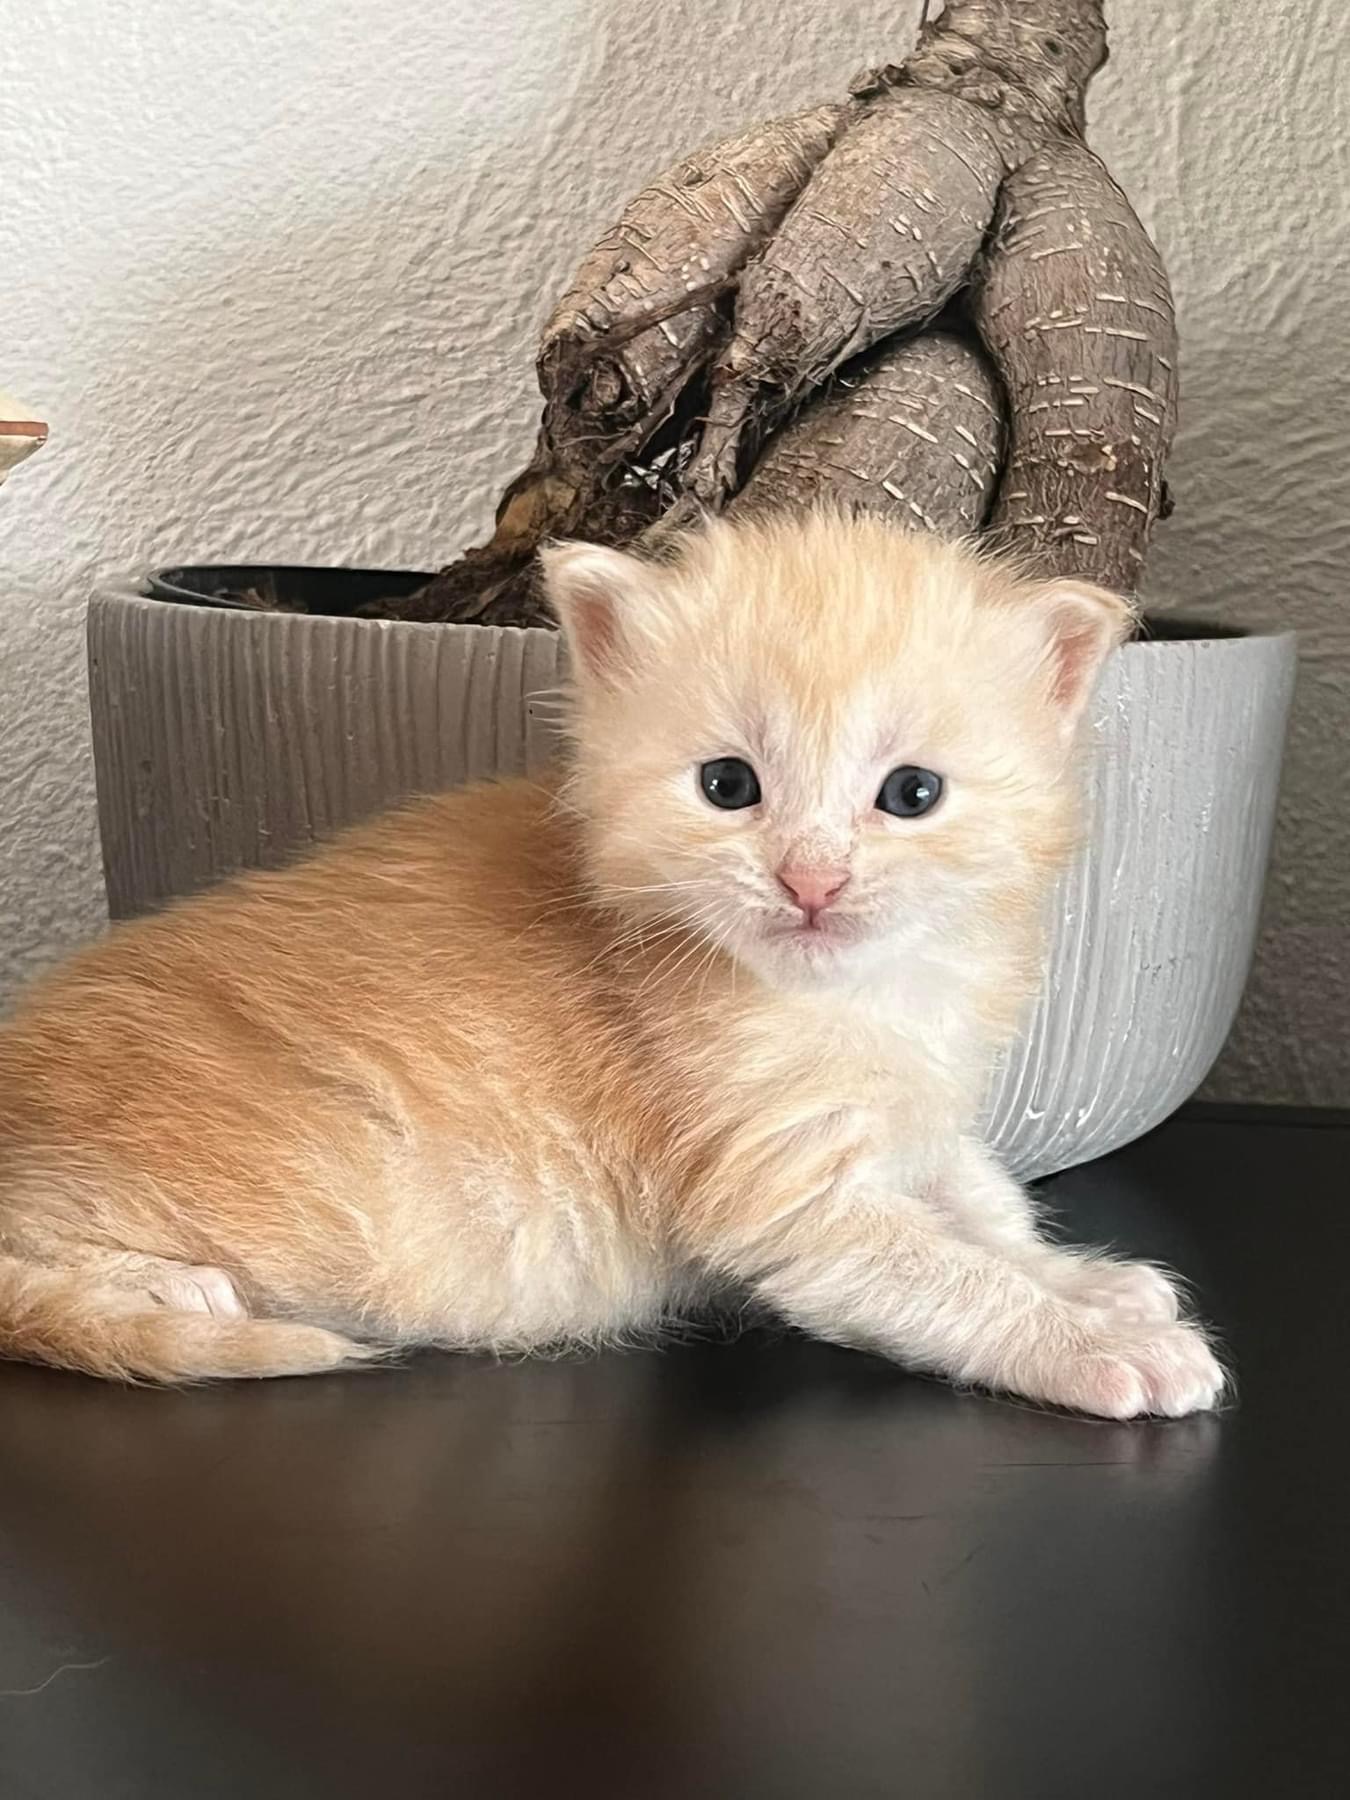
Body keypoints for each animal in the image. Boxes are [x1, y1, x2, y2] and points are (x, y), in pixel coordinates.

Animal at [0, 514, 1224, 1411]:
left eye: (911, 793)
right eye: (729, 786)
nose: (811, 882)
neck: (862, 993)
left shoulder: (917, 1116)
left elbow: (982, 1202)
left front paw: (1091, 1284)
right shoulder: (782, 1196)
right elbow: (942, 1272)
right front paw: (1088, 1343)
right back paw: (168, 1288)